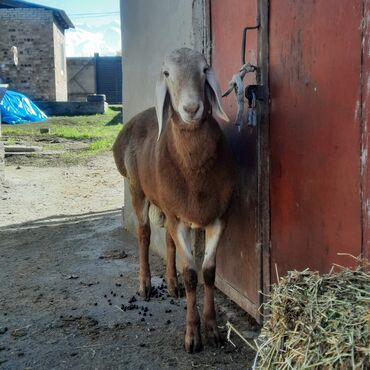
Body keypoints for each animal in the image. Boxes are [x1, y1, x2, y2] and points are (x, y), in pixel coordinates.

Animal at [112, 48, 236, 352]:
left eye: (204, 69)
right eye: (167, 73)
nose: (191, 109)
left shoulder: (217, 218)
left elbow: (208, 272)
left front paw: (213, 329)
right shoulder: (180, 219)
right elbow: (191, 274)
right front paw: (192, 336)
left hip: (168, 206)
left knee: (167, 241)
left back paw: (171, 283)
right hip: (137, 190)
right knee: (144, 234)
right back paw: (145, 285)